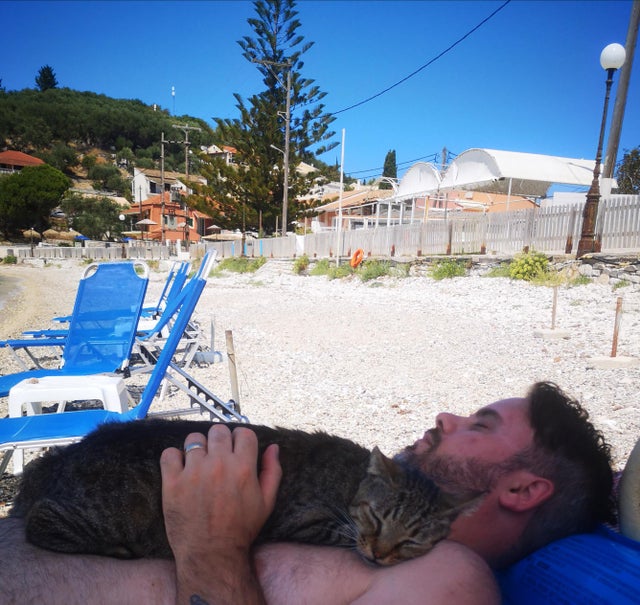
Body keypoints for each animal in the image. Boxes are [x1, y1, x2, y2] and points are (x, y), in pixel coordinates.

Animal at [10, 418, 482, 564]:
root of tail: (67, 454)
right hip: (105, 513)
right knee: (38, 523)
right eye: (378, 518)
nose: (381, 554)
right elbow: (341, 533)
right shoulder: (305, 520)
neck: (349, 480)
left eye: (413, 538)